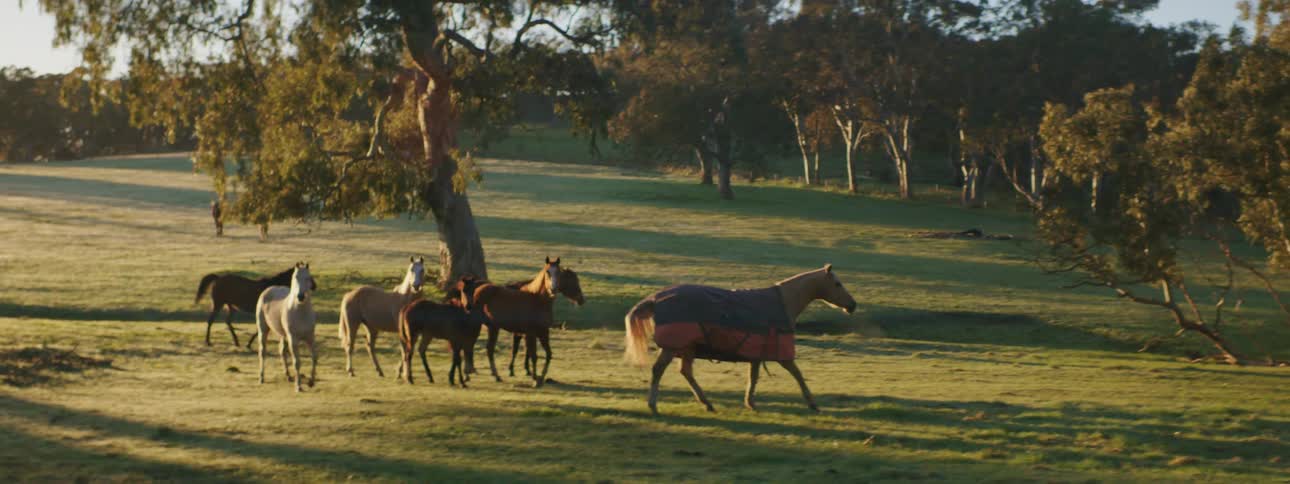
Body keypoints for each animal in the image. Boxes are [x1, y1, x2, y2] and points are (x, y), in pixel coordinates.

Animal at [256, 262, 318, 392]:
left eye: (308, 278)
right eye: (295, 277)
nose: (300, 296)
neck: (300, 312)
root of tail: (268, 290)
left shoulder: (310, 337)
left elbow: (314, 357)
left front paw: (311, 381)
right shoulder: (293, 339)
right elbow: (297, 362)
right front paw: (298, 386)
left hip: (282, 335)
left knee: (282, 351)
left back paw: (288, 376)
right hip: (263, 330)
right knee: (262, 352)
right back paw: (261, 377)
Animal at [623, 264, 858, 415]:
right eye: (837, 283)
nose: (852, 305)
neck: (782, 302)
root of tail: (656, 298)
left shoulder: (757, 353)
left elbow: (753, 377)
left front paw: (750, 403)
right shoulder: (782, 354)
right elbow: (797, 374)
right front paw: (813, 404)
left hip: (686, 348)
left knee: (686, 372)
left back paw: (707, 403)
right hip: (673, 346)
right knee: (659, 370)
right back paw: (653, 405)